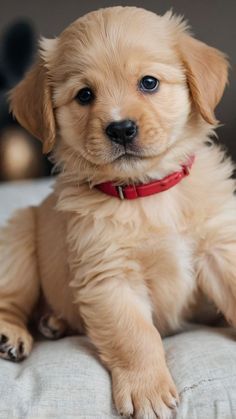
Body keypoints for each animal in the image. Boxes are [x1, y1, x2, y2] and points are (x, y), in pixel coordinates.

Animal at [0, 6, 233, 419]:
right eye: (85, 95)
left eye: (149, 83)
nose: (121, 128)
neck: (148, 192)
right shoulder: (109, 275)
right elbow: (135, 336)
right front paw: (147, 390)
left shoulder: (219, 247)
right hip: (19, 234)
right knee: (10, 297)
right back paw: (12, 332)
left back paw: (54, 322)